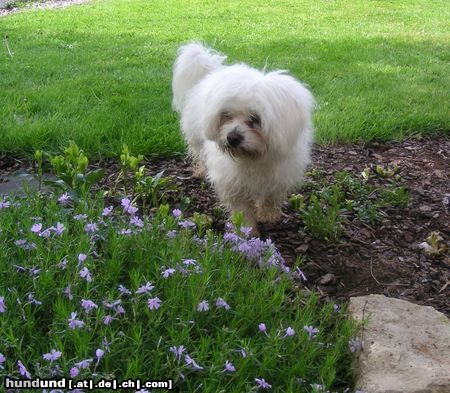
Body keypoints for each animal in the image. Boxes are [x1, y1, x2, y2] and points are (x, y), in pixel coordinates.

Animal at [172, 42, 316, 230]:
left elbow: (270, 199)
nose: (232, 138)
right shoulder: (232, 183)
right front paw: (246, 229)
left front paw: (268, 216)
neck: (254, 158)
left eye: (255, 119)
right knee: (200, 156)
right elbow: (242, 210)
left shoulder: (279, 178)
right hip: (197, 140)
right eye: (226, 115)